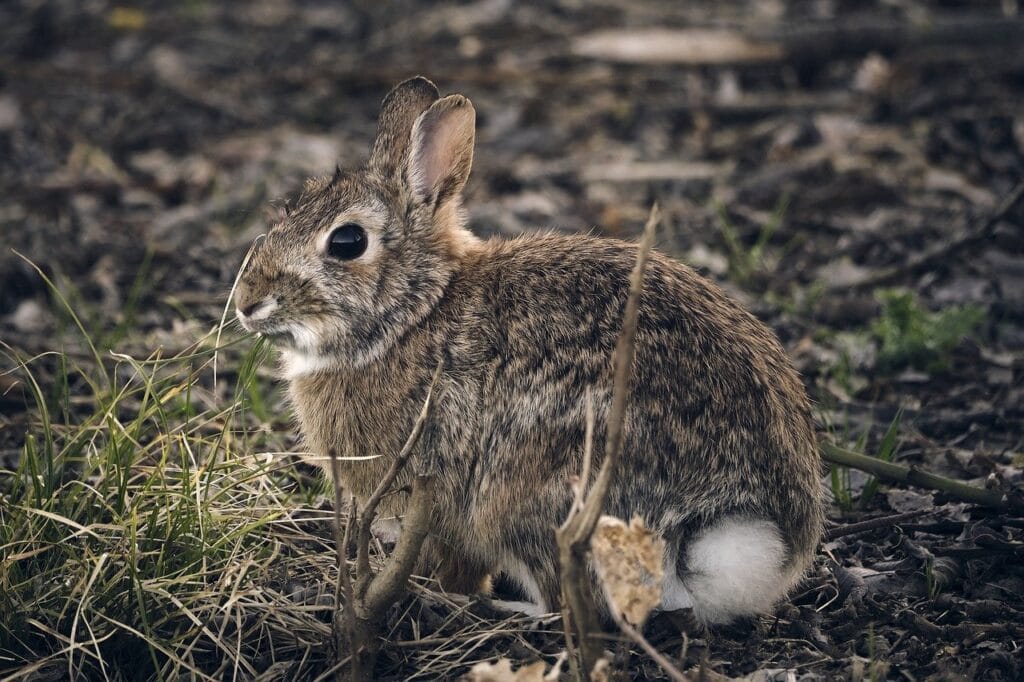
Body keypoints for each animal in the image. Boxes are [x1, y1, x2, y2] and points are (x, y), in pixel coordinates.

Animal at [234, 75, 823, 622]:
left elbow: (452, 560)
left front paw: (439, 588)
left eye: (347, 242)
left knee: (564, 601)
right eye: (291, 208)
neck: (416, 312)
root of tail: (729, 528)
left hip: (528, 496)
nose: (247, 303)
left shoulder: (434, 500)